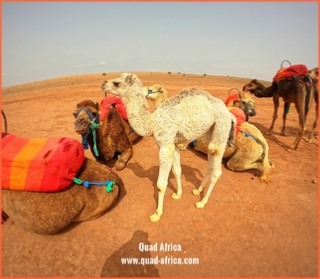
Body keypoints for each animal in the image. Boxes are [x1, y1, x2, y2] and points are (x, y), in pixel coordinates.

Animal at [101, 72, 236, 223]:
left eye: (116, 83)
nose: (103, 84)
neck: (151, 123)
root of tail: (230, 114)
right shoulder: (173, 145)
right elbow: (177, 170)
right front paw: (178, 194)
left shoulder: (165, 147)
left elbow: (160, 184)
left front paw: (157, 214)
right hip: (209, 132)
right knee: (210, 163)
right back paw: (198, 190)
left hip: (221, 126)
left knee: (216, 167)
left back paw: (202, 202)